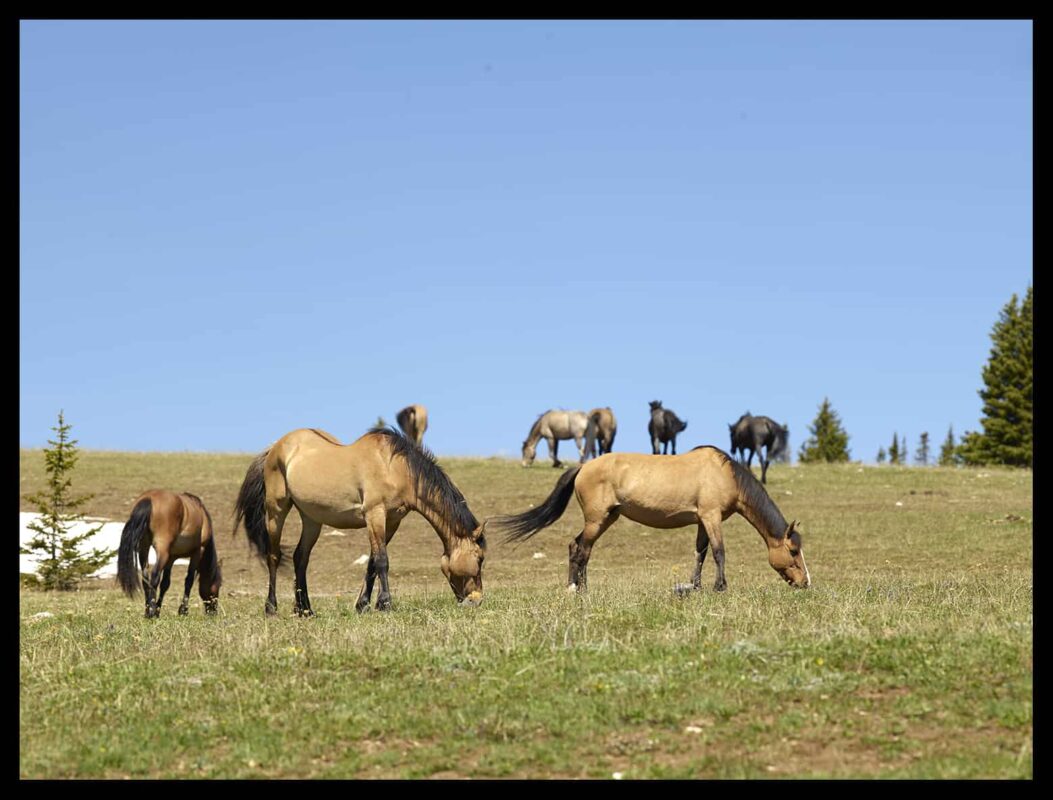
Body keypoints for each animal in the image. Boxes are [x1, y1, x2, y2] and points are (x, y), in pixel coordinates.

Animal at [115, 488, 222, 618]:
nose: (213, 612)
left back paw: (147, 611)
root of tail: (149, 499)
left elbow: (165, 583)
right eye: (218, 585)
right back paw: (151, 611)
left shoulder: (172, 557)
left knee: (145, 578)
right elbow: (189, 580)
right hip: (162, 551)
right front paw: (183, 610)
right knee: (154, 575)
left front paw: (158, 610)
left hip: (144, 548)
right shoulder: (197, 552)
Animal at [232, 427, 486, 614]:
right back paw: (271, 608)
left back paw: (305, 610)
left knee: (300, 558)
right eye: (480, 558)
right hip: (276, 510)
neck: (394, 467)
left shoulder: (392, 521)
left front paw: (363, 605)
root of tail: (275, 447)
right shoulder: (374, 514)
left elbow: (372, 561)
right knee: (273, 556)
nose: (476, 600)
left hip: (311, 519)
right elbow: (382, 560)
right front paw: (385, 603)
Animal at [488, 450, 808, 593]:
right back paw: (576, 589)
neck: (723, 473)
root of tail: (583, 466)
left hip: (606, 518)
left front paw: (695, 587)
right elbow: (718, 552)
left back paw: (580, 587)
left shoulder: (702, 521)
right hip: (597, 519)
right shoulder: (711, 516)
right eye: (793, 551)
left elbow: (701, 553)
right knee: (580, 550)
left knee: (579, 547)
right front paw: (720, 587)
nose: (805, 582)